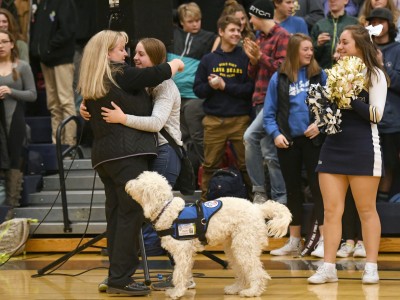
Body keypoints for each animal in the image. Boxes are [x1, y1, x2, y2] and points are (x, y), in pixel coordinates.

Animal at [125, 171, 290, 298]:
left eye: (139, 180)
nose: (127, 183)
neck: (166, 210)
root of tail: (257, 208)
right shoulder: (185, 254)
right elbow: (184, 272)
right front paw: (183, 288)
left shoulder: (182, 253)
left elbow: (179, 273)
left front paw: (176, 292)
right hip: (234, 248)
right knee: (242, 270)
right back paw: (235, 288)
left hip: (245, 246)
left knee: (257, 272)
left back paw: (253, 291)